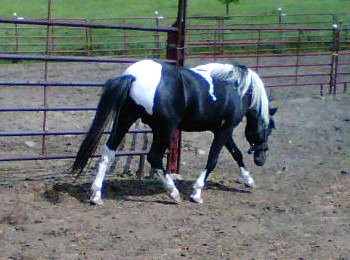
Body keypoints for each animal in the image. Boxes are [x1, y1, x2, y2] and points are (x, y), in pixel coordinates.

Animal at [72, 60, 276, 204]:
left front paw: (249, 181)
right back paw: (173, 193)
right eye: (268, 128)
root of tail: (133, 76)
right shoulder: (225, 130)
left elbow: (236, 153)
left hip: (125, 121)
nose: (261, 159)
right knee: (154, 157)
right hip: (165, 129)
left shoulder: (221, 130)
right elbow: (213, 160)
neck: (237, 89)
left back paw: (96, 195)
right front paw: (196, 193)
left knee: (108, 152)